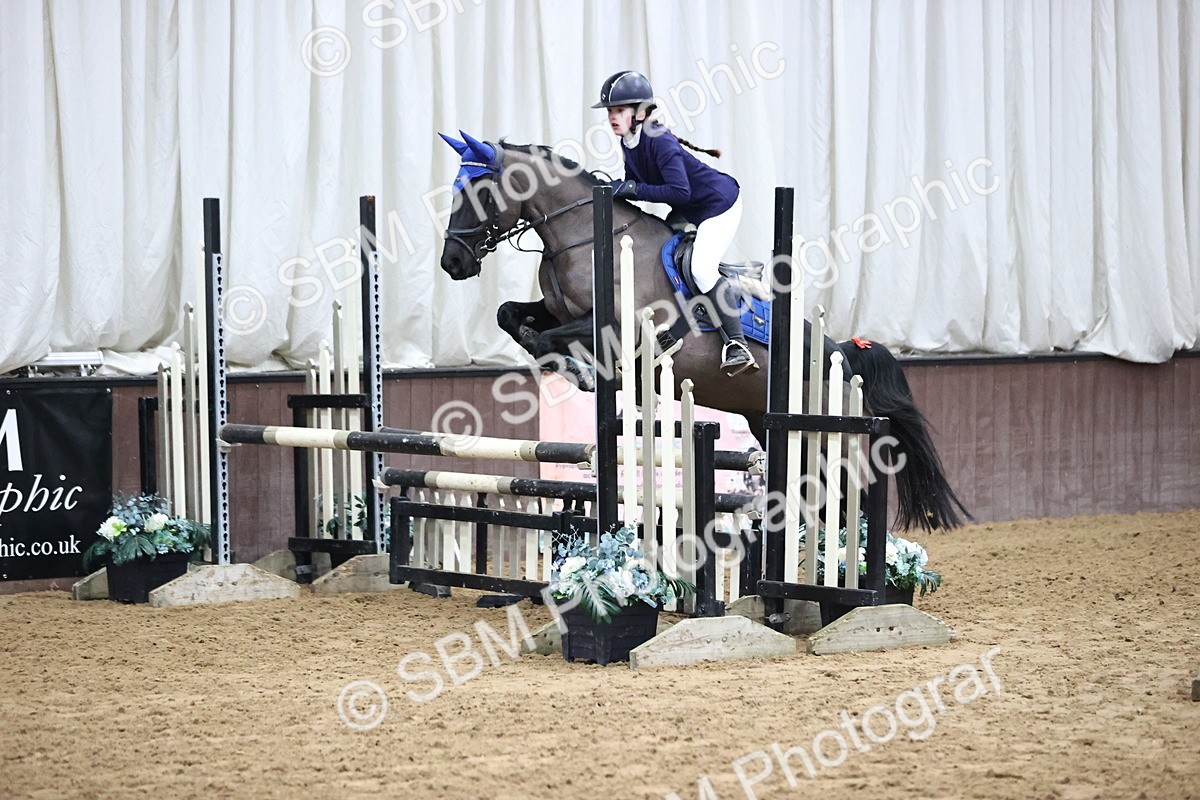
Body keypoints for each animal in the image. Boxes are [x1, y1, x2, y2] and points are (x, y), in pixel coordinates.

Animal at [436, 131, 969, 531]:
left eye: (478, 194)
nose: (452, 263)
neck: (583, 236)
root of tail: (841, 350)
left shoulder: (622, 330)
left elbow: (553, 339)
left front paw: (581, 372)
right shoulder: (557, 312)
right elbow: (511, 315)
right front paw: (562, 363)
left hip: (818, 435)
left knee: (838, 500)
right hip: (767, 427)